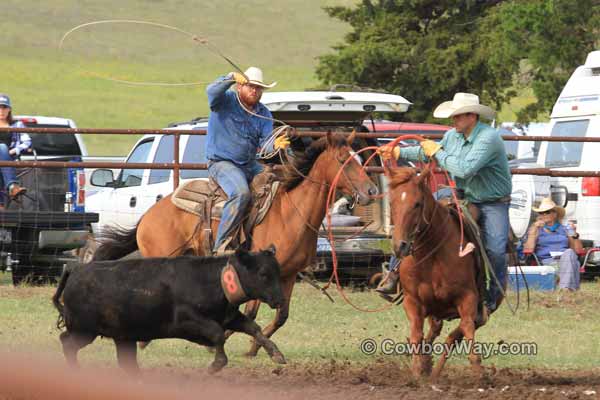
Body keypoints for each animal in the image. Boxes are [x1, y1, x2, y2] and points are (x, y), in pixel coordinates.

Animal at [92, 133, 378, 358]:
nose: (372, 191)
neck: (290, 213)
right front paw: (230, 341)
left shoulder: (287, 275)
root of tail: (148, 215)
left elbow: (281, 315)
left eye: (359, 160)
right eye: (342, 160)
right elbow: (250, 312)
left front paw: (253, 347)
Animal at [384, 166, 492, 382]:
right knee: (435, 330)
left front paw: (478, 370)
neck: (432, 253)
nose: (400, 246)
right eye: (391, 202)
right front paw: (417, 370)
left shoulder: (468, 297)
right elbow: (416, 333)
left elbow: (467, 327)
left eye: (417, 203)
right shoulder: (412, 300)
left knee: (454, 334)